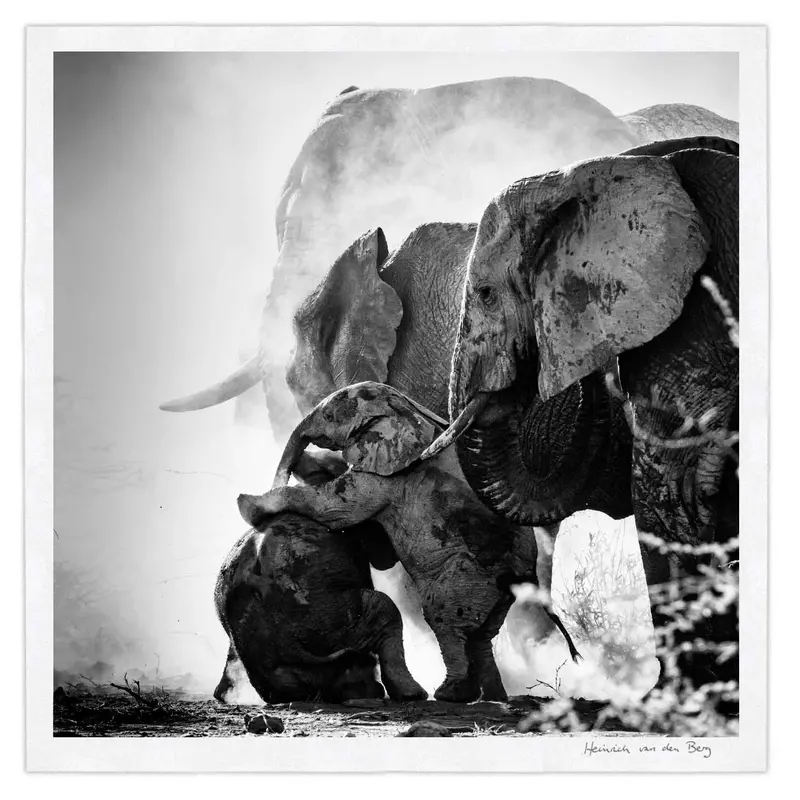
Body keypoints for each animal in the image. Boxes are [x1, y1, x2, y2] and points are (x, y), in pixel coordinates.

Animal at [237, 381, 581, 704]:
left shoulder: (384, 478)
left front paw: (248, 504)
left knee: (445, 619)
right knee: (483, 634)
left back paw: (450, 694)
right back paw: (493, 695)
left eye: (331, 416)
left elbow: (334, 508)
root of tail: (523, 575)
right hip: (493, 591)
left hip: (464, 574)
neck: (404, 408)